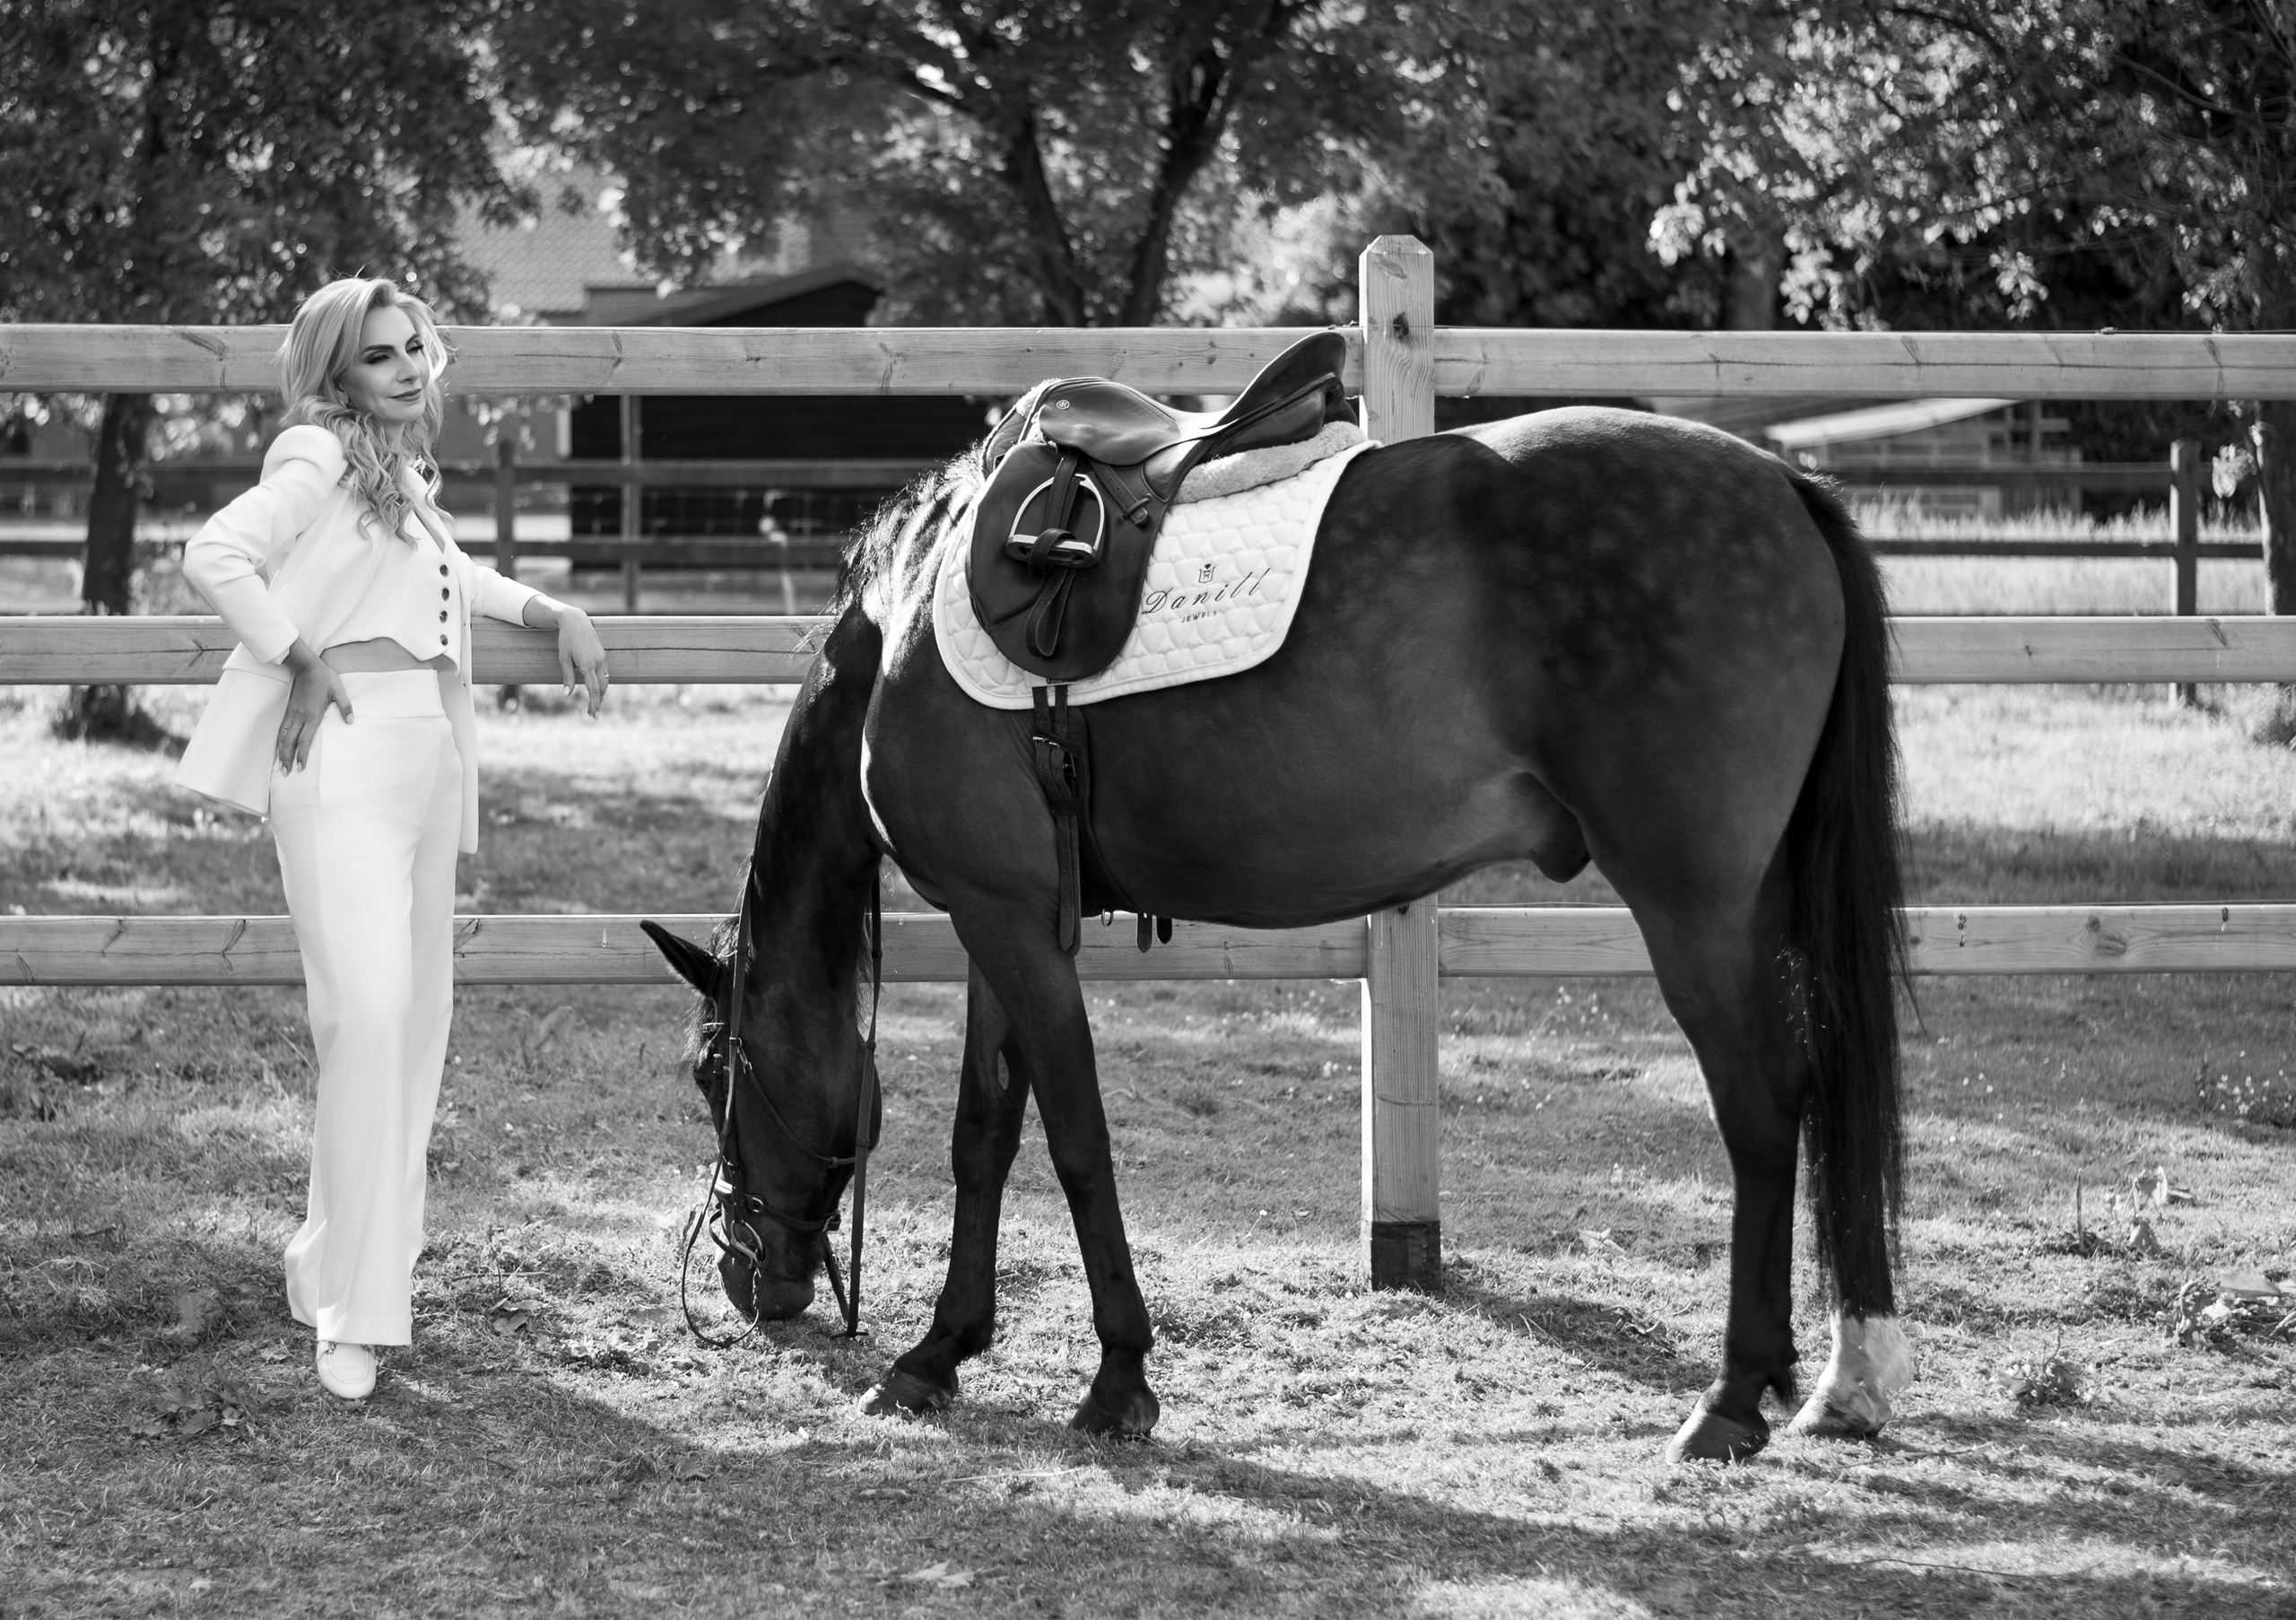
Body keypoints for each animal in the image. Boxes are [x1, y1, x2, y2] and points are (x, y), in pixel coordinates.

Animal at [640, 404, 1914, 1464]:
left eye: (712, 1072)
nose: (748, 1278)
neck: (907, 619)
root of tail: (1781, 481)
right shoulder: (999, 919)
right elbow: (983, 1138)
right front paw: (937, 1354)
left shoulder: (1005, 925)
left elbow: (1077, 1143)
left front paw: (1117, 1380)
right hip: (1759, 906)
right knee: (1815, 1096)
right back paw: (1828, 1377)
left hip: (1693, 909)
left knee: (1764, 1111)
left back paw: (1733, 1397)